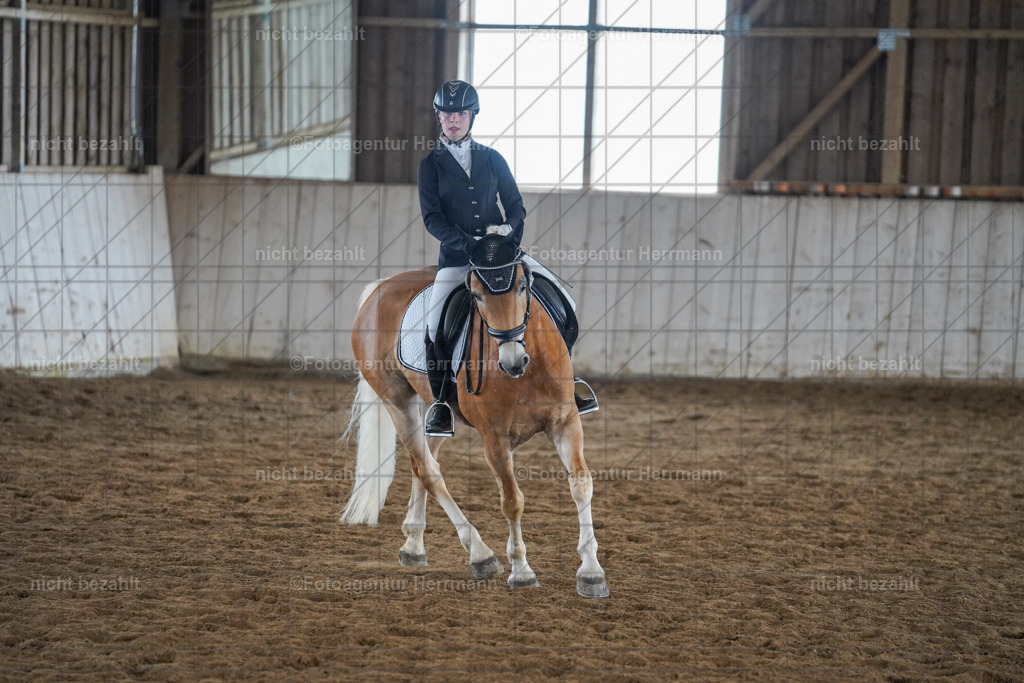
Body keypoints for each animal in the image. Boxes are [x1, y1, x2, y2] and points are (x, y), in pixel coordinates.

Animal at [339, 236, 609, 597]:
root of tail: (380, 288)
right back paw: (480, 554)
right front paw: (521, 571)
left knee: (423, 462)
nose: (512, 361)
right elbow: (512, 501)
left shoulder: (566, 422)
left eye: (522, 286)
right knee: (428, 470)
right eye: (477, 296)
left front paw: (591, 572)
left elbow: (581, 484)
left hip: (435, 411)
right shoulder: (494, 440)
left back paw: (414, 545)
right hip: (397, 402)